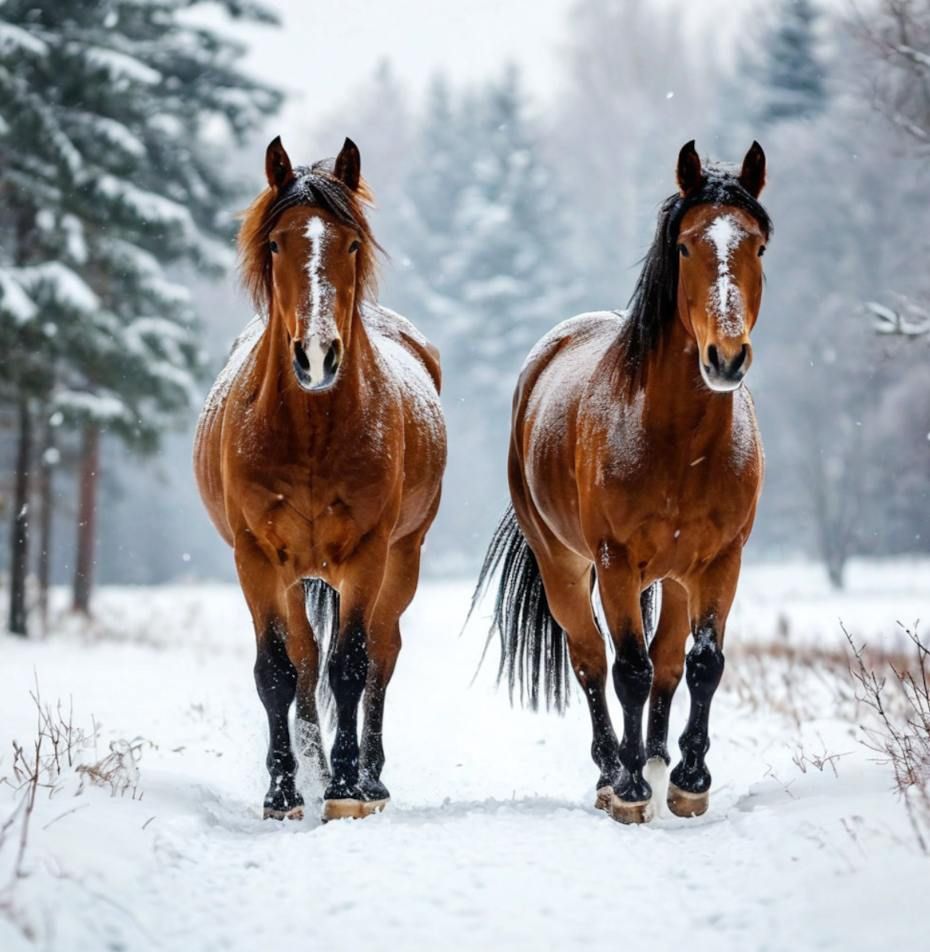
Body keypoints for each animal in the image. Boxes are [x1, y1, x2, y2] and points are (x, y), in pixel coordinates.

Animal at [193, 138, 446, 820]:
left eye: (351, 243)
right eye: (278, 243)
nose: (315, 357)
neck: (309, 429)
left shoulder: (366, 554)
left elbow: (352, 667)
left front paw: (345, 789)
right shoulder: (255, 557)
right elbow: (278, 672)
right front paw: (284, 790)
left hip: (401, 561)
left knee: (381, 654)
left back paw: (370, 776)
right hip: (294, 574)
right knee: (306, 661)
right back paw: (312, 764)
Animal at [472, 141, 768, 824]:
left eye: (760, 245)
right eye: (684, 246)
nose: (726, 358)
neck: (680, 445)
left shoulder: (722, 560)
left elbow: (700, 664)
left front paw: (687, 780)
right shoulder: (615, 562)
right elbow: (627, 669)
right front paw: (631, 789)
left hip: (678, 577)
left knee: (668, 662)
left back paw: (656, 760)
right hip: (564, 565)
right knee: (590, 660)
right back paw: (613, 771)